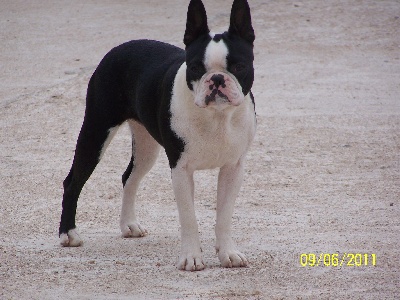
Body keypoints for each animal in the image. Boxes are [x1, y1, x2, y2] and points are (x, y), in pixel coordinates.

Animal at [59, 0, 256, 272]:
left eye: (239, 67)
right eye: (196, 67)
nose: (217, 79)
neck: (216, 117)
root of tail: (120, 47)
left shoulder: (233, 169)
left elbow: (224, 216)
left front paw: (228, 253)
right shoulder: (181, 169)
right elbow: (189, 217)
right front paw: (191, 257)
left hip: (146, 147)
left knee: (129, 177)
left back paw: (129, 225)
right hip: (96, 133)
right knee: (73, 182)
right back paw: (68, 234)